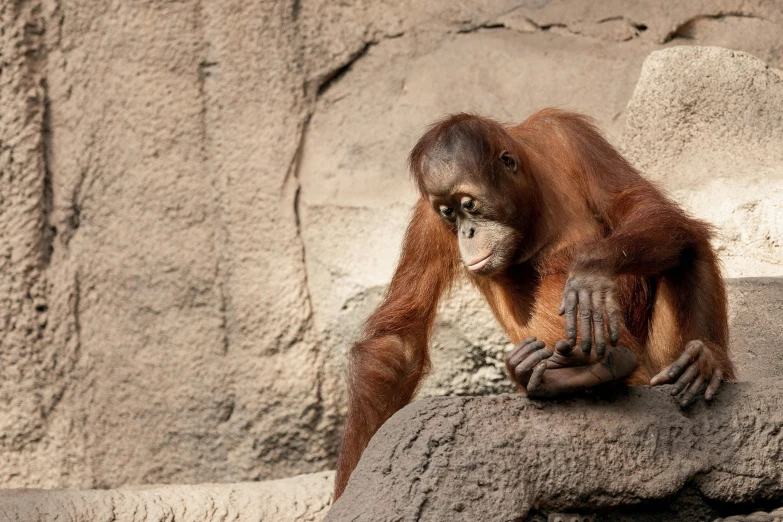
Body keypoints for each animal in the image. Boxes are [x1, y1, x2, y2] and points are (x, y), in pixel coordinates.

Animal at [334, 108, 740, 496]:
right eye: (448, 213)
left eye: (468, 204)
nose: (467, 232)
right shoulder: (426, 222)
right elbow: (397, 341)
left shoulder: (569, 135)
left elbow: (642, 206)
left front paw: (590, 273)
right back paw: (568, 375)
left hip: (657, 366)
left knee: (684, 238)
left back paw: (702, 361)